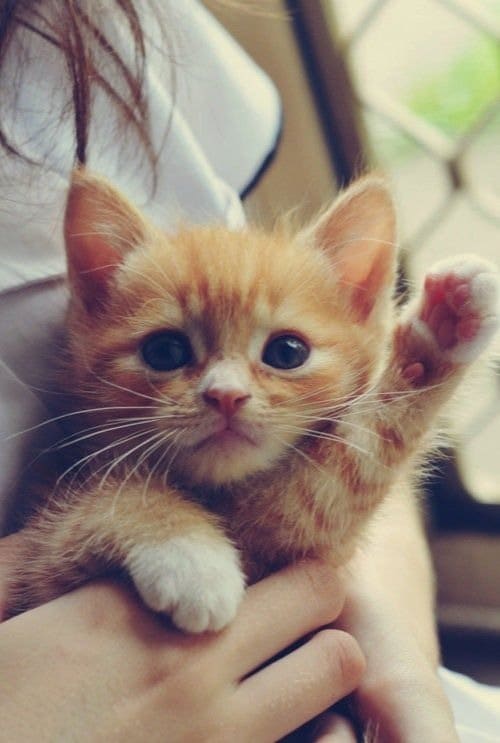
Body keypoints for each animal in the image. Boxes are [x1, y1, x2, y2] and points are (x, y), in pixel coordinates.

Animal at [4, 170, 500, 632]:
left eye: (287, 352)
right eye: (164, 351)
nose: (226, 395)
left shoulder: (293, 538)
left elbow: (350, 467)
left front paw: (440, 330)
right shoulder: (37, 571)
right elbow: (101, 505)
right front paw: (190, 557)